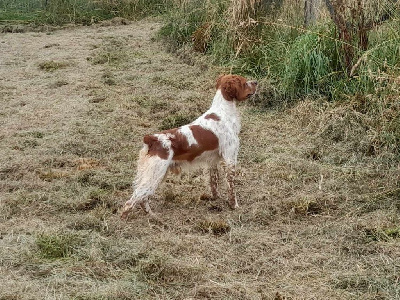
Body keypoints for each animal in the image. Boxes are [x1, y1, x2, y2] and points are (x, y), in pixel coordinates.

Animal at [122, 73, 258, 218]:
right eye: (244, 82)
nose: (256, 82)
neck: (223, 112)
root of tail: (152, 139)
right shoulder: (230, 159)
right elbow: (231, 187)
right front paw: (234, 206)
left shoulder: (213, 161)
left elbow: (214, 182)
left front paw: (216, 198)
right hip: (155, 174)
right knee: (131, 202)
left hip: (155, 174)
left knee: (142, 198)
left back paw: (153, 216)